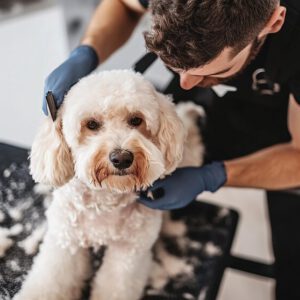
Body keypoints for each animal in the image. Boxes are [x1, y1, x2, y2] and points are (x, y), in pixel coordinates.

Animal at [15, 70, 205, 300]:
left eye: (136, 120)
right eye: (92, 124)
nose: (121, 158)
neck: (107, 198)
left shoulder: (128, 254)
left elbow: (115, 286)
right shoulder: (66, 243)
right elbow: (51, 281)